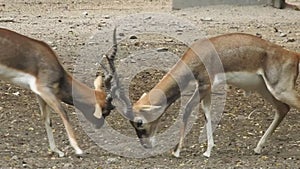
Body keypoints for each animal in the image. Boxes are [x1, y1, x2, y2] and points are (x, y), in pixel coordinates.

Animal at [0, 27, 119, 156]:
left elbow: (47, 119)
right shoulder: (44, 90)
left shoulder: (39, 94)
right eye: (105, 111)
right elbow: (64, 113)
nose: (99, 126)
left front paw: (56, 150)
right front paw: (77, 149)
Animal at [129, 32, 300, 157]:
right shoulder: (208, 89)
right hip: (264, 89)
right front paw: (207, 151)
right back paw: (258, 148)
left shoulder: (205, 85)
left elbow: (187, 110)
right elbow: (207, 113)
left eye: (139, 122)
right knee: (283, 109)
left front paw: (176, 151)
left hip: (281, 90)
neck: (198, 55)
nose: (145, 145)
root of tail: (293, 55)